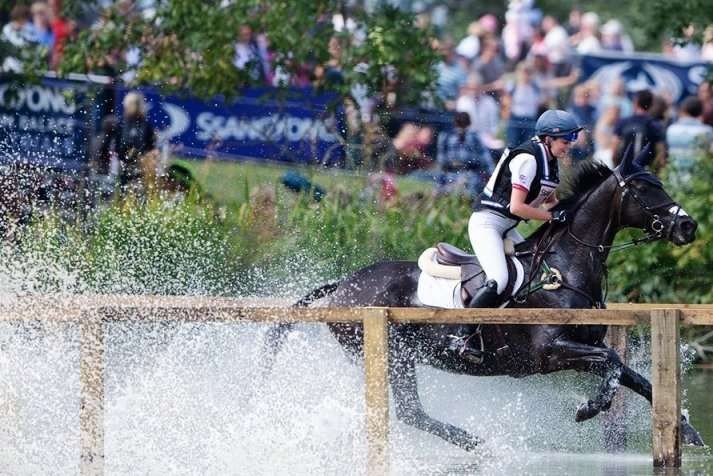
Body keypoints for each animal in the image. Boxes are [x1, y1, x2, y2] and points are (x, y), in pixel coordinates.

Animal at [263, 147, 705, 451]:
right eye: (645, 189)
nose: (688, 226)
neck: (563, 271)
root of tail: (342, 286)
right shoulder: (552, 352)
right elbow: (613, 364)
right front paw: (588, 409)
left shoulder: (582, 348)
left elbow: (636, 378)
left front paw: (687, 429)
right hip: (391, 354)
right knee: (409, 412)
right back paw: (477, 444)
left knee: (411, 412)